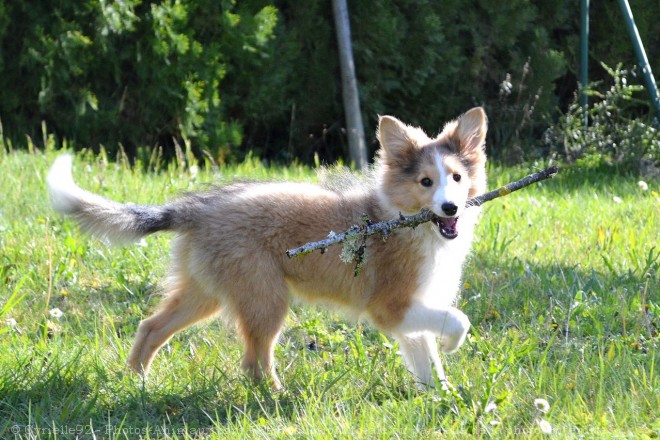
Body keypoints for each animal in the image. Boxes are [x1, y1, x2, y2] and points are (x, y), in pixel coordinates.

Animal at [47, 106, 490, 388]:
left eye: (455, 177)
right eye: (425, 182)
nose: (450, 208)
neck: (412, 225)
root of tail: (196, 209)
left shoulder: (415, 312)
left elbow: (427, 363)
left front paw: (442, 400)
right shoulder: (392, 308)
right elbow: (457, 320)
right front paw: (452, 346)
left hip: (205, 291)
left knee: (151, 326)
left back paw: (137, 383)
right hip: (265, 298)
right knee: (253, 363)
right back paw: (276, 397)